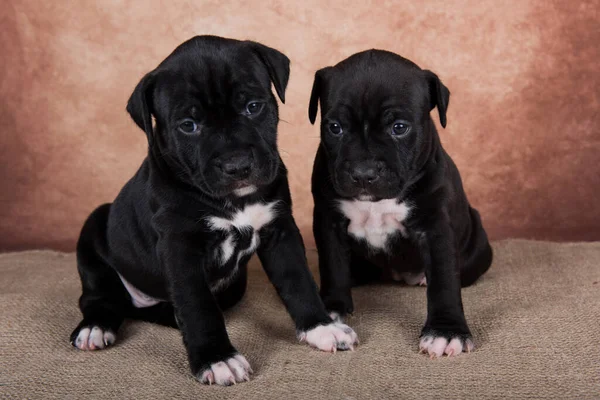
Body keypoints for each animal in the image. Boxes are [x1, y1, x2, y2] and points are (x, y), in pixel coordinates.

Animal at [72, 36, 358, 386]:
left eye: (253, 107)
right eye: (188, 125)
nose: (238, 165)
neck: (235, 201)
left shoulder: (280, 230)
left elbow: (298, 280)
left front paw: (322, 328)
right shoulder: (181, 249)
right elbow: (198, 306)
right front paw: (217, 358)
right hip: (94, 232)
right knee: (96, 296)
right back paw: (94, 327)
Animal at [310, 50, 492, 360]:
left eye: (399, 128)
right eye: (334, 128)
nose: (363, 172)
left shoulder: (436, 228)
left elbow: (444, 280)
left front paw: (446, 331)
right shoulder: (328, 220)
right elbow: (332, 264)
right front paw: (332, 308)